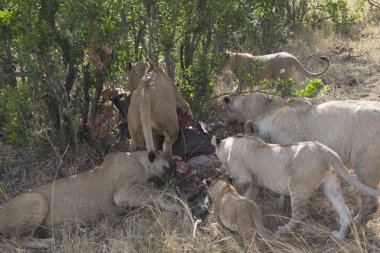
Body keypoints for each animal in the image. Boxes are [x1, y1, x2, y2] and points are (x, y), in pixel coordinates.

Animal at [0, 150, 180, 249]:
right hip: (37, 199)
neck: (140, 160)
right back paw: (49, 242)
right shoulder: (122, 193)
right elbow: (154, 193)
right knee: (18, 240)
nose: (174, 169)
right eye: (168, 161)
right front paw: (174, 205)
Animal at [212, 131, 380, 240]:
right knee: (344, 213)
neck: (233, 143)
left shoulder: (244, 177)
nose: (222, 170)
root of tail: (326, 151)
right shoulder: (255, 183)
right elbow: (248, 197)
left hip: (298, 186)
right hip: (331, 186)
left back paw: (283, 229)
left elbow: (238, 184)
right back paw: (339, 235)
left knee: (300, 214)